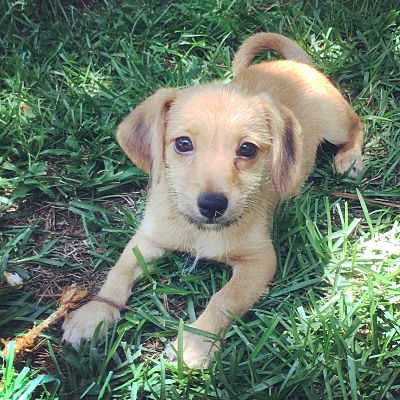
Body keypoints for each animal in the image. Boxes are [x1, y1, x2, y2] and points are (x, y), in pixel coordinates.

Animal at [61, 32, 362, 368]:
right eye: (183, 143)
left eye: (247, 149)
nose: (213, 205)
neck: (198, 231)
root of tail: (295, 64)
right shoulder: (148, 239)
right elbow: (119, 272)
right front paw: (95, 314)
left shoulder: (260, 261)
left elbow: (224, 299)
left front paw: (196, 344)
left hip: (335, 123)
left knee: (357, 125)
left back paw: (350, 158)